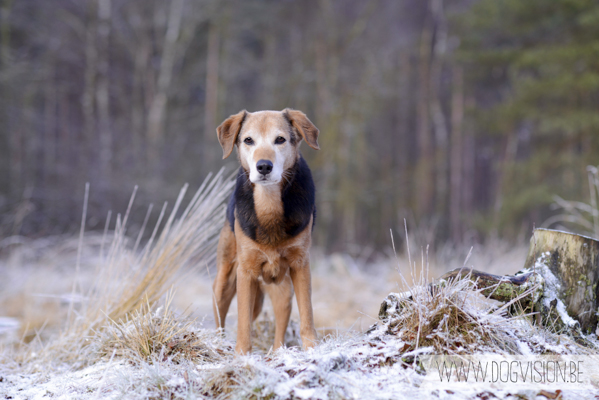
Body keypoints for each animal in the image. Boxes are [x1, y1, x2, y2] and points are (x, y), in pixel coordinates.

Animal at [213, 108, 322, 354]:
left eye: (280, 139)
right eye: (248, 140)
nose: (263, 166)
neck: (268, 202)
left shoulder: (301, 264)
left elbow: (307, 315)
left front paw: (312, 350)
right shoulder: (246, 271)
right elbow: (243, 324)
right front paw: (241, 356)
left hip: (283, 291)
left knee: (280, 328)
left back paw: (277, 353)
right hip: (224, 280)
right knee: (220, 318)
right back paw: (218, 345)